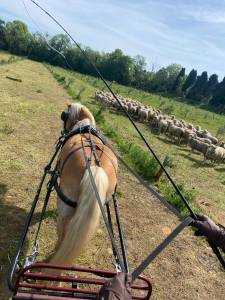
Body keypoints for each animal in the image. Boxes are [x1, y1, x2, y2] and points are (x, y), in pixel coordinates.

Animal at [47, 102, 118, 270]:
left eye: (64, 116)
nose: (63, 132)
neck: (83, 126)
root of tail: (95, 166)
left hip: (65, 207)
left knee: (63, 233)